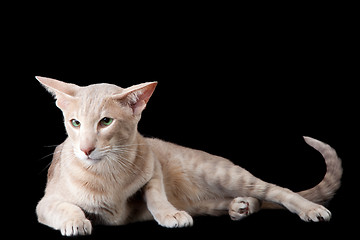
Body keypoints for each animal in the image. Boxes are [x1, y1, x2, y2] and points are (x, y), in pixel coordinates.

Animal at [35, 76, 344, 236]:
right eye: (75, 123)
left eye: (105, 122)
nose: (85, 149)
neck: (107, 173)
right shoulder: (46, 202)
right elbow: (67, 207)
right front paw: (75, 221)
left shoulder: (152, 163)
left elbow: (154, 193)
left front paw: (168, 213)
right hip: (209, 198)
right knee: (244, 200)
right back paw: (240, 206)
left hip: (223, 174)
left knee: (276, 191)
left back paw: (309, 209)